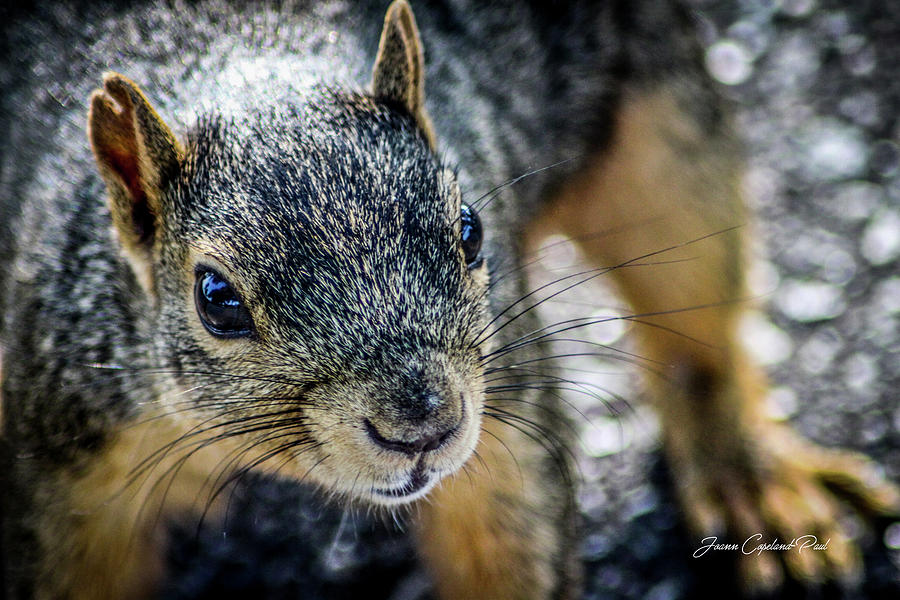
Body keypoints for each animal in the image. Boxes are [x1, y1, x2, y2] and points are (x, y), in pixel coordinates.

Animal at [2, 1, 899, 598]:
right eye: (216, 298)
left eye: (470, 230)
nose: (422, 428)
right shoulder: (65, 449)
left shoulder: (506, 417)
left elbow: (510, 538)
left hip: (665, 138)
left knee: (700, 319)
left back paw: (752, 480)